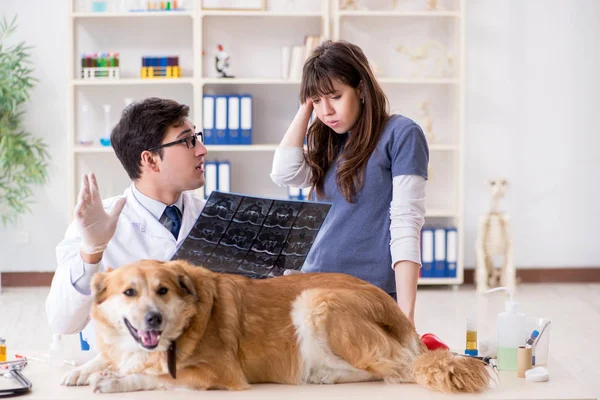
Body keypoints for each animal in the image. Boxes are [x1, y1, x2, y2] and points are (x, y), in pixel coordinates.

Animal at [61, 260, 490, 394]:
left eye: (162, 290)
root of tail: (402, 318)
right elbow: (111, 355)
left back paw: (326, 376)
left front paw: (114, 381)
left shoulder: (219, 373)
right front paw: (85, 369)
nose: (153, 319)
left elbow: (157, 377)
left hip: (315, 300)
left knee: (394, 370)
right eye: (129, 292)